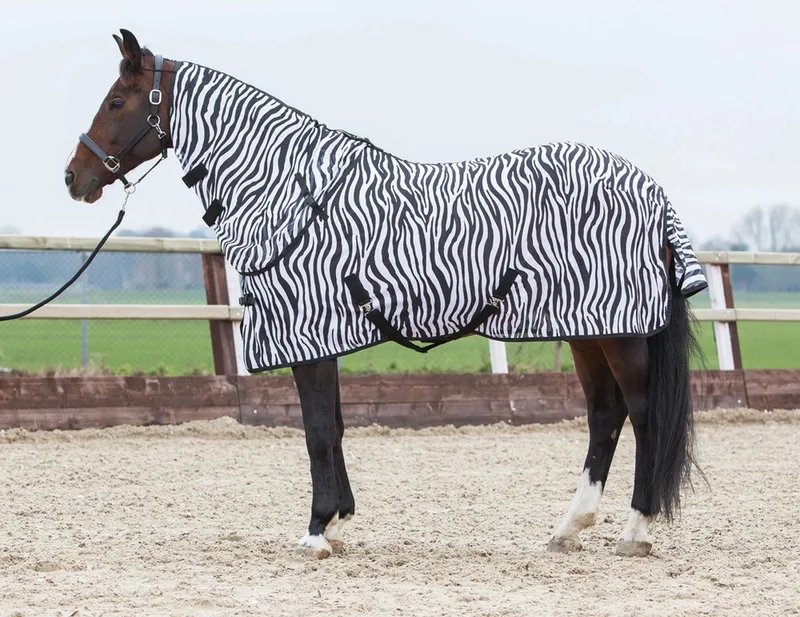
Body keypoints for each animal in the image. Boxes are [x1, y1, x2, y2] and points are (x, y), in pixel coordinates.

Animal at [66, 30, 707, 559]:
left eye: (117, 102)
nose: (74, 178)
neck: (289, 190)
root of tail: (651, 190)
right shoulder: (321, 338)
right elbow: (335, 426)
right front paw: (339, 521)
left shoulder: (308, 335)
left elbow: (317, 431)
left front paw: (317, 531)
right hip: (586, 330)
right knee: (605, 415)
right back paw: (568, 528)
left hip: (621, 334)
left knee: (642, 414)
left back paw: (635, 531)